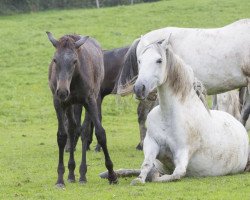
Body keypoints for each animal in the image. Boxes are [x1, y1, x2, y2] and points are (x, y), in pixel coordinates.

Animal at [101, 39, 250, 184]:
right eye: (139, 60)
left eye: (159, 60)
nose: (139, 89)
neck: (168, 116)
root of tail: (238, 123)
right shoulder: (151, 143)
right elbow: (145, 165)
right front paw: (139, 178)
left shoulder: (182, 152)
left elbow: (176, 174)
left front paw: (152, 176)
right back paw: (109, 174)